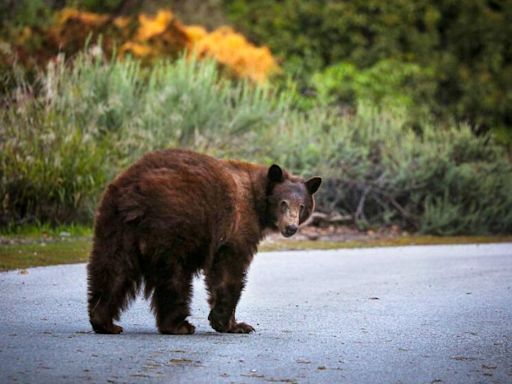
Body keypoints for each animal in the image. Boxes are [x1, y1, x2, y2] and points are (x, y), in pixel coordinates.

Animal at [88, 148, 320, 334]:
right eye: (283, 203)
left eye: (302, 206)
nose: (291, 227)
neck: (257, 200)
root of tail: (134, 194)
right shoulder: (237, 225)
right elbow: (229, 270)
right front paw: (231, 324)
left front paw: (233, 323)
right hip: (172, 224)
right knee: (174, 276)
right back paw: (178, 325)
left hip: (114, 224)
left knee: (113, 268)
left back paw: (104, 322)